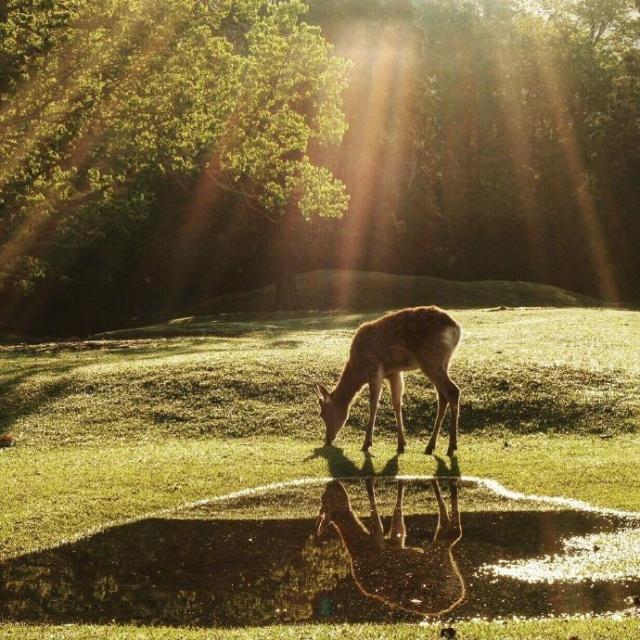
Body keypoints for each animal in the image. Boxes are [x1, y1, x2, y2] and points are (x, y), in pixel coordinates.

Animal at [316, 304, 460, 456]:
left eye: (322, 414)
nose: (328, 439)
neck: (358, 370)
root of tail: (456, 327)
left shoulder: (375, 369)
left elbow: (373, 404)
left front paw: (367, 444)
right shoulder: (394, 373)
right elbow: (396, 403)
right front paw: (401, 444)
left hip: (430, 358)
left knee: (453, 391)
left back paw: (451, 447)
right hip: (445, 361)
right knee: (442, 397)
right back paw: (430, 446)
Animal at [316, 478, 462, 616]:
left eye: (323, 498)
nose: (332, 482)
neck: (359, 546)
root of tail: (460, 592)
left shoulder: (394, 542)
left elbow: (397, 515)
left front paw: (400, 481)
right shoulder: (379, 541)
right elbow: (380, 513)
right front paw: (371, 481)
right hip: (438, 553)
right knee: (453, 531)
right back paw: (448, 483)